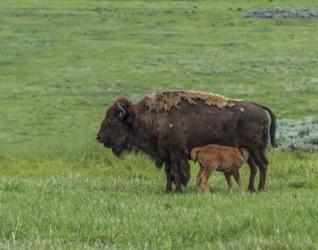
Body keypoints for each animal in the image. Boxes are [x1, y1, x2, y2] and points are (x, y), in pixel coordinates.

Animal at [96, 91, 276, 192]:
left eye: (112, 121)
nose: (99, 137)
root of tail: (258, 107)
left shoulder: (176, 154)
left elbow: (176, 173)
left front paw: (178, 190)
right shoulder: (166, 155)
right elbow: (168, 173)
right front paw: (168, 190)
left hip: (256, 149)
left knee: (262, 165)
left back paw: (260, 189)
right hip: (247, 150)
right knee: (254, 167)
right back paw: (251, 189)